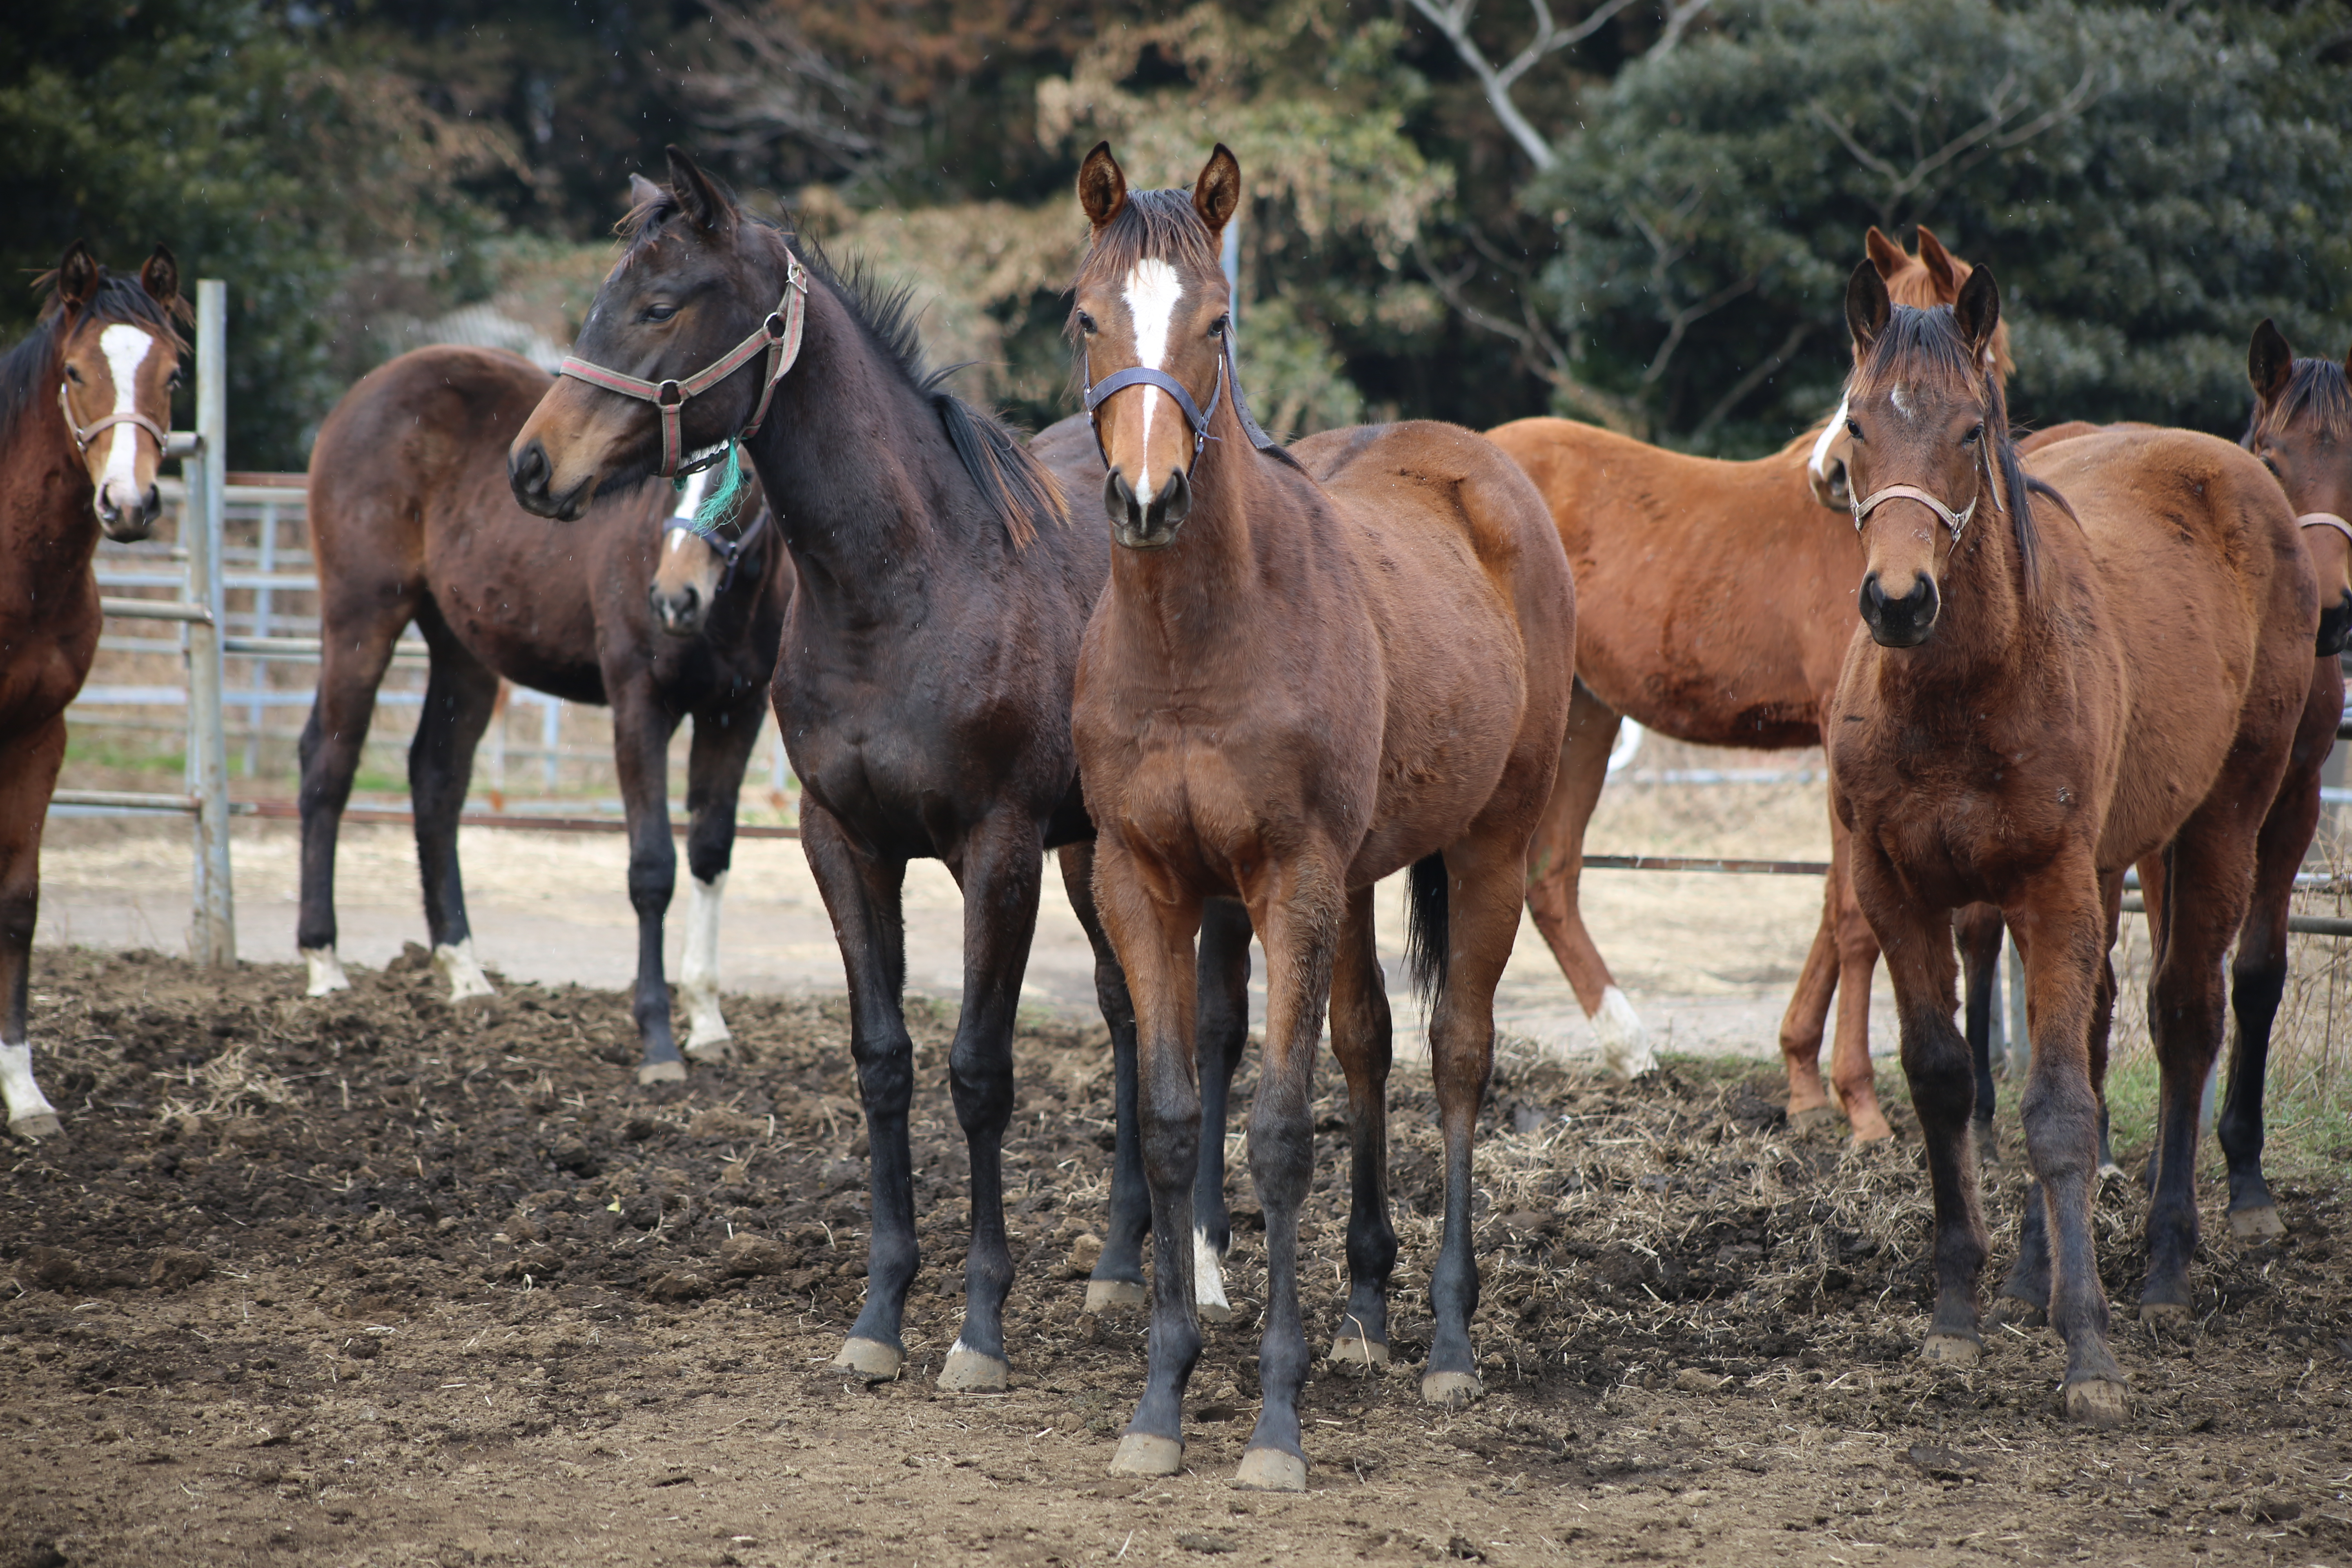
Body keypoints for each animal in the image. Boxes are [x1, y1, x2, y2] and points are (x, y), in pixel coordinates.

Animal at [294, 329, 785, 1091]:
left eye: (752, 479)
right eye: (678, 473)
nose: (675, 599)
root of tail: (365, 393)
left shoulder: (736, 711)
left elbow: (710, 856)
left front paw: (708, 1022)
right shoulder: (638, 704)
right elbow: (652, 868)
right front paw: (658, 1041)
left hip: (462, 647)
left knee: (436, 780)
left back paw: (465, 973)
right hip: (361, 617)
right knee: (328, 763)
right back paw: (324, 965)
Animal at [1077, 150, 1571, 1495]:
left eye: (1217, 321)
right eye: (1086, 319)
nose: (1147, 498)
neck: (1195, 642)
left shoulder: (1284, 879)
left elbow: (1278, 1131)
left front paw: (1274, 1422)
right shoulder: (1145, 881)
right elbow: (1175, 1120)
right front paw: (1160, 1398)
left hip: (1490, 843)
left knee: (1456, 1054)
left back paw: (1447, 1337)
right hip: (1354, 880)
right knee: (1368, 1044)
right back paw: (1363, 1313)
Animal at [1486, 230, 2004, 1142]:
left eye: (1965, 410)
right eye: (1859, 370)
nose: (1831, 474)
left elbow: (1843, 908)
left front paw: (1803, 1081)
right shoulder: (1841, 744)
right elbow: (1853, 914)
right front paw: (1857, 1104)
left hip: (1584, 712)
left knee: (1548, 877)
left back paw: (1631, 1050)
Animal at [1815, 267, 2314, 1420]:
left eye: (1969, 429)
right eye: (1857, 424)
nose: (1896, 601)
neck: (1961, 692)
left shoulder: (2051, 888)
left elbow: (2056, 1114)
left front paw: (2087, 1351)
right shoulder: (1899, 888)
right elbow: (1946, 1081)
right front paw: (1958, 1314)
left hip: (2223, 823)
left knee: (2185, 1019)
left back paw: (2167, 1268)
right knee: (2089, 1035)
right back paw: (2026, 1278)